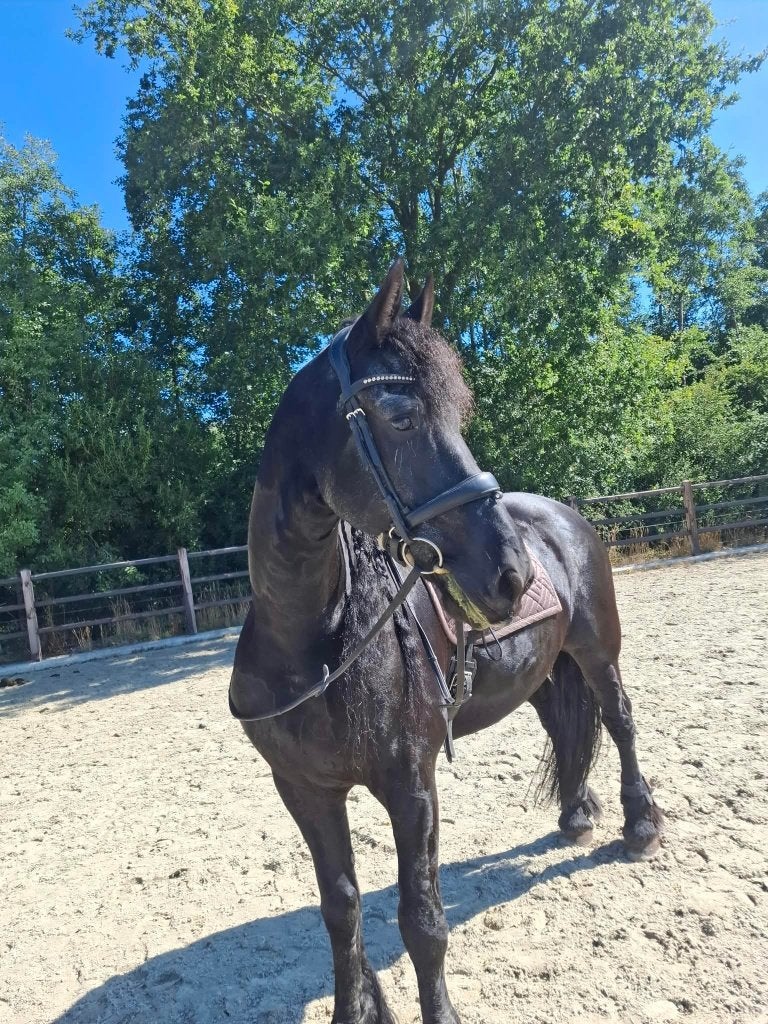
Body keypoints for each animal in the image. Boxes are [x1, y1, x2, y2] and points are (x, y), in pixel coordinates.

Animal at [229, 260, 664, 1024]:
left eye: (459, 416)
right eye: (402, 417)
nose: (513, 572)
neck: (310, 646)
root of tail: (562, 516)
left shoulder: (412, 784)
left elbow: (422, 921)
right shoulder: (304, 789)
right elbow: (340, 910)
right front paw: (354, 1008)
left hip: (596, 651)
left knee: (619, 719)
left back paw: (638, 826)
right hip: (543, 669)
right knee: (565, 726)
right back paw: (576, 814)